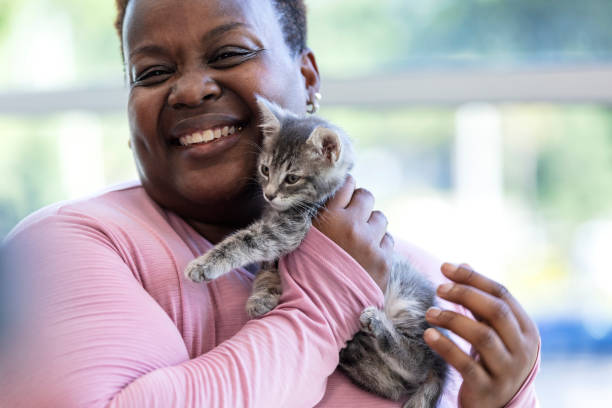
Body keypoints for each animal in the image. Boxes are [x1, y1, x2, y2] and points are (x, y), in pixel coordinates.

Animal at [184, 96, 448, 408]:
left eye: (292, 178)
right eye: (265, 170)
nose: (269, 194)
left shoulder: (289, 230)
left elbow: (244, 241)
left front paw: (204, 265)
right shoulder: (279, 240)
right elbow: (267, 270)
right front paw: (262, 297)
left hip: (409, 301)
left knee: (419, 361)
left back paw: (380, 325)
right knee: (395, 382)